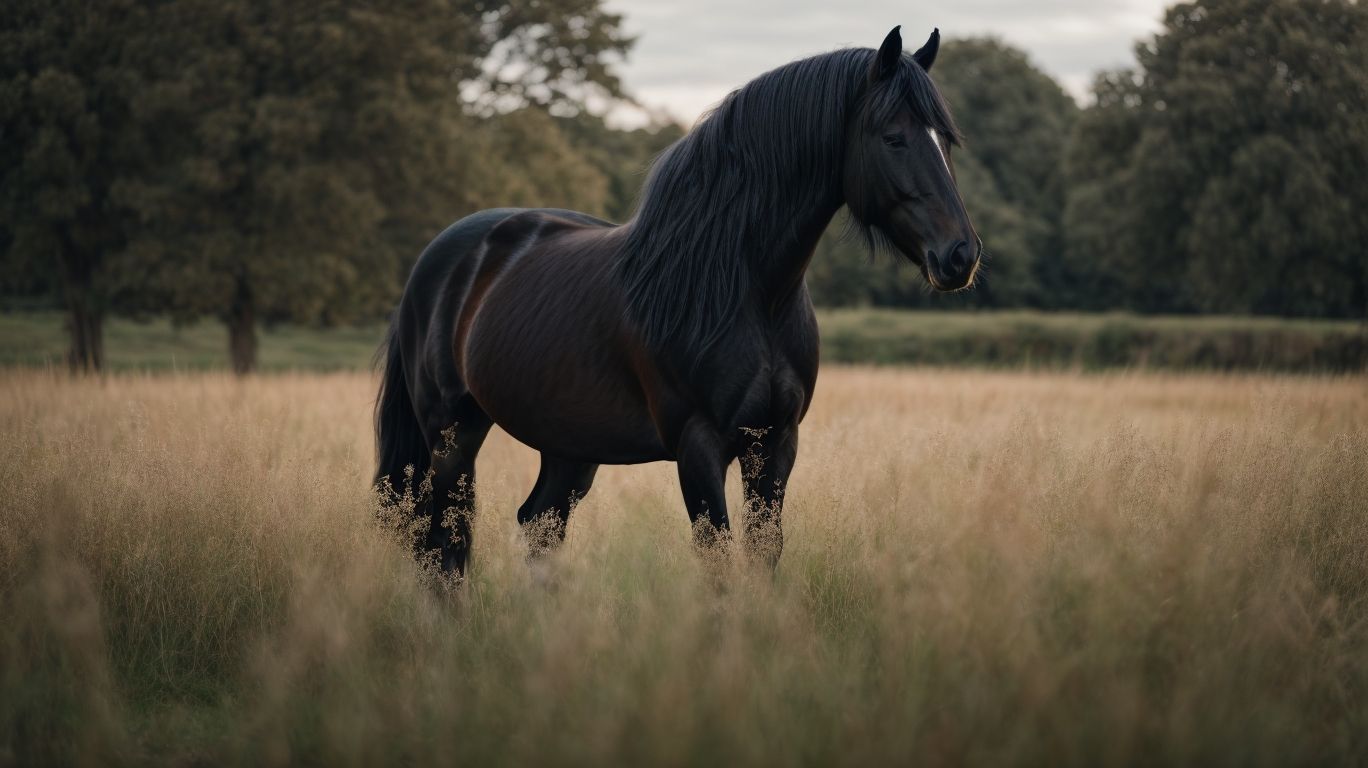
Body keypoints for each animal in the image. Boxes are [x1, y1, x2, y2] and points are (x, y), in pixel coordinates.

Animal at [374, 25, 981, 577]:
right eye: (893, 137)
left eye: (945, 140)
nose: (961, 255)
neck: (746, 293)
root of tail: (439, 260)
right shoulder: (698, 445)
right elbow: (717, 564)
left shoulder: (776, 444)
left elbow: (764, 556)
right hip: (453, 435)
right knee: (444, 546)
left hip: (568, 445)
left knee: (537, 527)